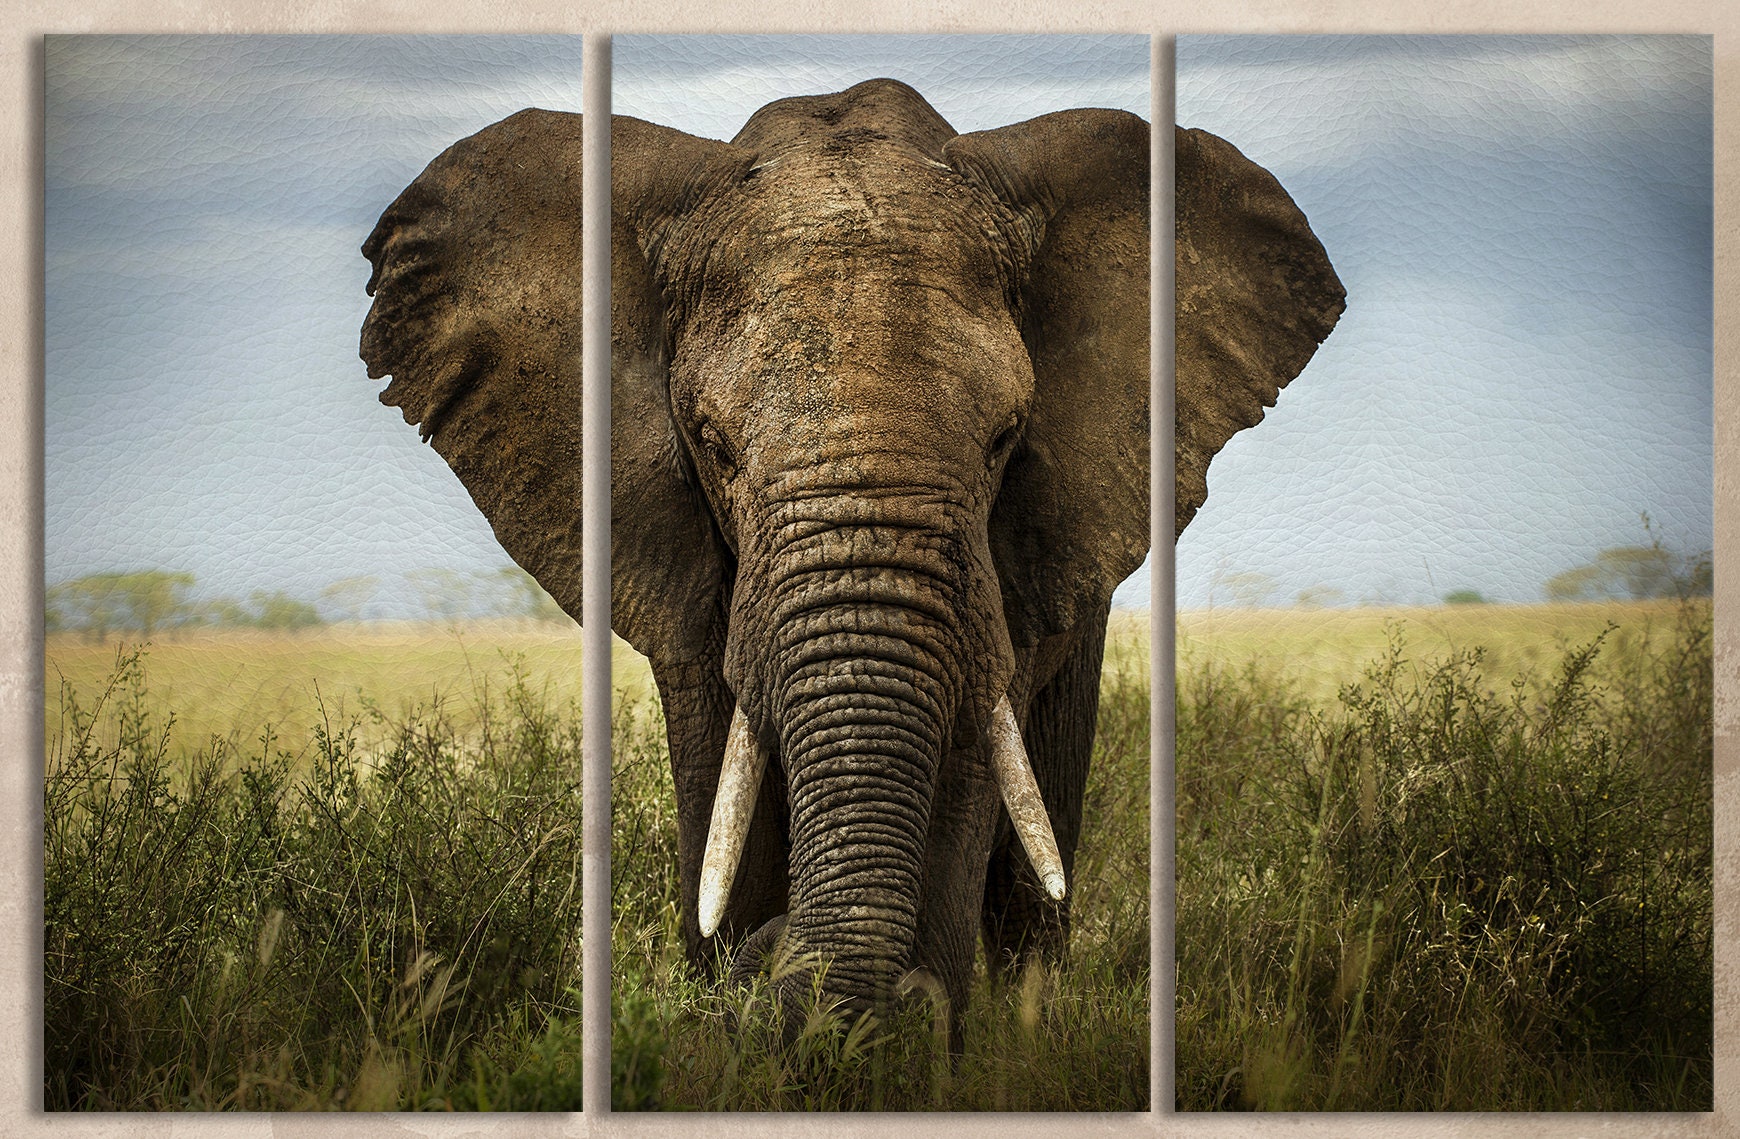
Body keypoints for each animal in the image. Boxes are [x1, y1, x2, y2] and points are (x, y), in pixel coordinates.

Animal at [359, 78, 1342, 1044]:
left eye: (1005, 438)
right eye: (713, 444)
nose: (775, 957)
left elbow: (969, 754)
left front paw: (908, 1033)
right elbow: (719, 763)